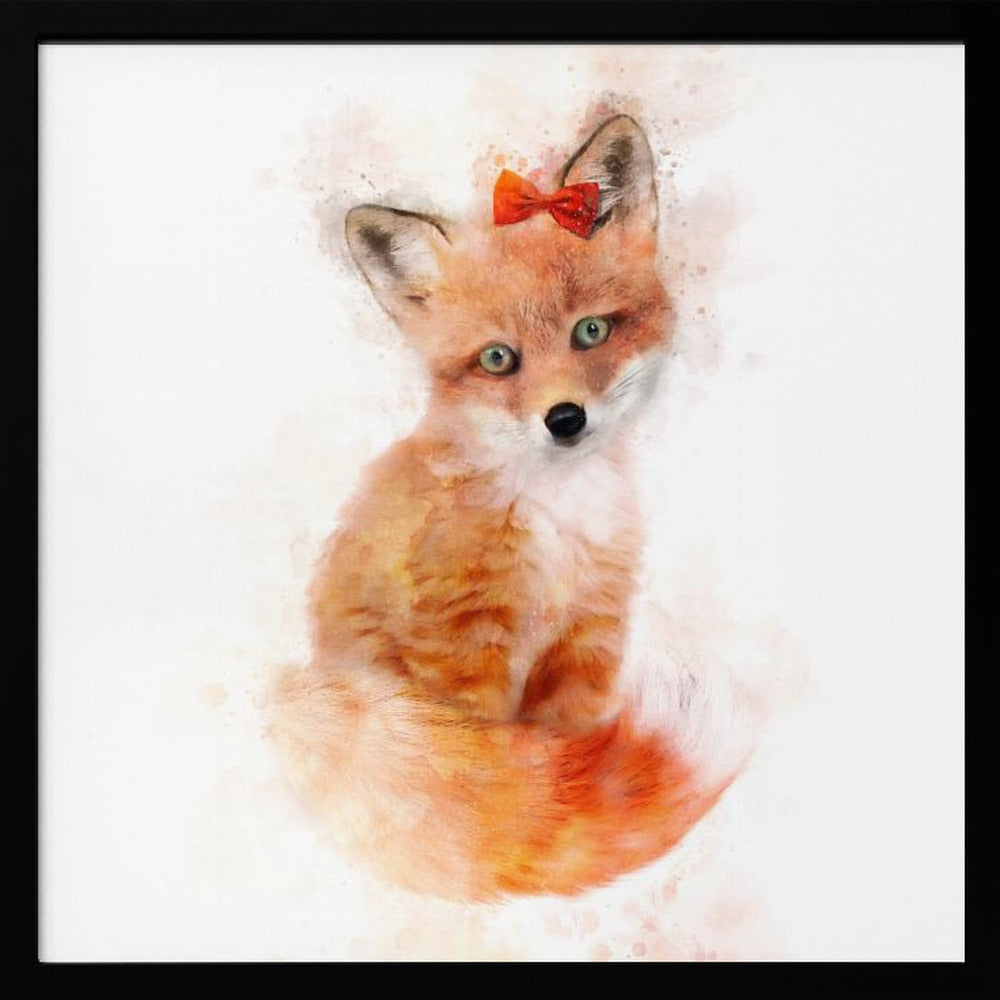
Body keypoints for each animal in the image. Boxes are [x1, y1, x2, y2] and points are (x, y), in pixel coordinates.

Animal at [269, 115, 745, 900]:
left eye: (591, 331)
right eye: (498, 359)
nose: (565, 419)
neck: (555, 521)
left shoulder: (584, 644)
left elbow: (568, 775)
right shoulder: (459, 652)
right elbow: (504, 794)